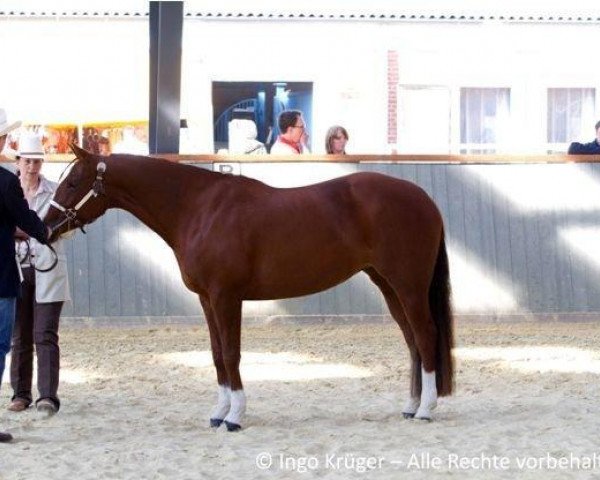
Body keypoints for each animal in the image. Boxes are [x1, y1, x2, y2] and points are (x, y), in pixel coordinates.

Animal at [44, 144, 452, 430]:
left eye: (73, 182)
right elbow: (215, 355)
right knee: (412, 341)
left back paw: (426, 409)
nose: (45, 226)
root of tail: (425, 199)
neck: (200, 209)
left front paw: (235, 416)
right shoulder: (207, 300)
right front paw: (218, 412)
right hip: (387, 285)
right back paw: (410, 406)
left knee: (426, 334)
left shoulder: (227, 297)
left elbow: (231, 354)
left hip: (409, 285)